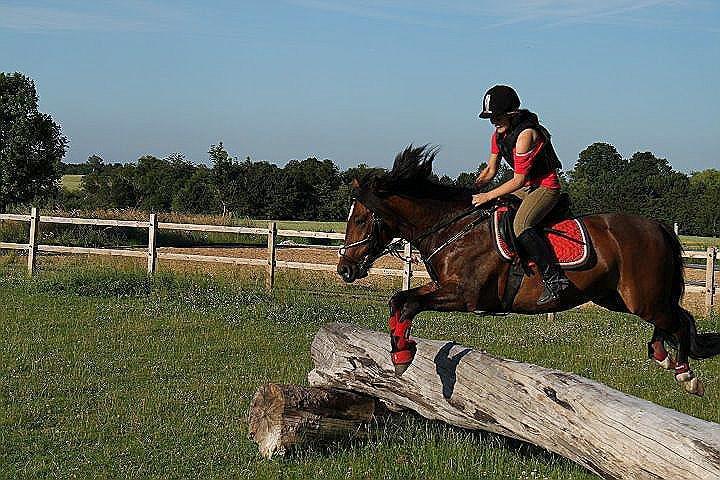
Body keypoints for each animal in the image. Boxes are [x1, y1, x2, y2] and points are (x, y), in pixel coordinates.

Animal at [338, 144, 720, 396]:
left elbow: (407, 302)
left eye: (360, 220)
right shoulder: (446, 289)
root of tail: (657, 225)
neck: (452, 226)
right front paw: (400, 351)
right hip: (617, 297)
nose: (344, 269)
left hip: (641, 297)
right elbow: (399, 301)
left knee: (679, 320)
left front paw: (402, 353)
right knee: (676, 318)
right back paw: (664, 356)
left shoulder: (464, 294)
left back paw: (686, 374)